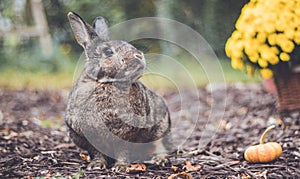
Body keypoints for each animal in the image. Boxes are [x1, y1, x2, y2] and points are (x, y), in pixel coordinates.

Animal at [64, 11, 171, 171]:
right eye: (108, 51)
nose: (139, 55)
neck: (106, 83)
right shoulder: (90, 139)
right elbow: (96, 152)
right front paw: (96, 165)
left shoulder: (127, 135)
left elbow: (123, 151)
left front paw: (120, 167)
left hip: (160, 129)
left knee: (159, 146)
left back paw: (160, 160)